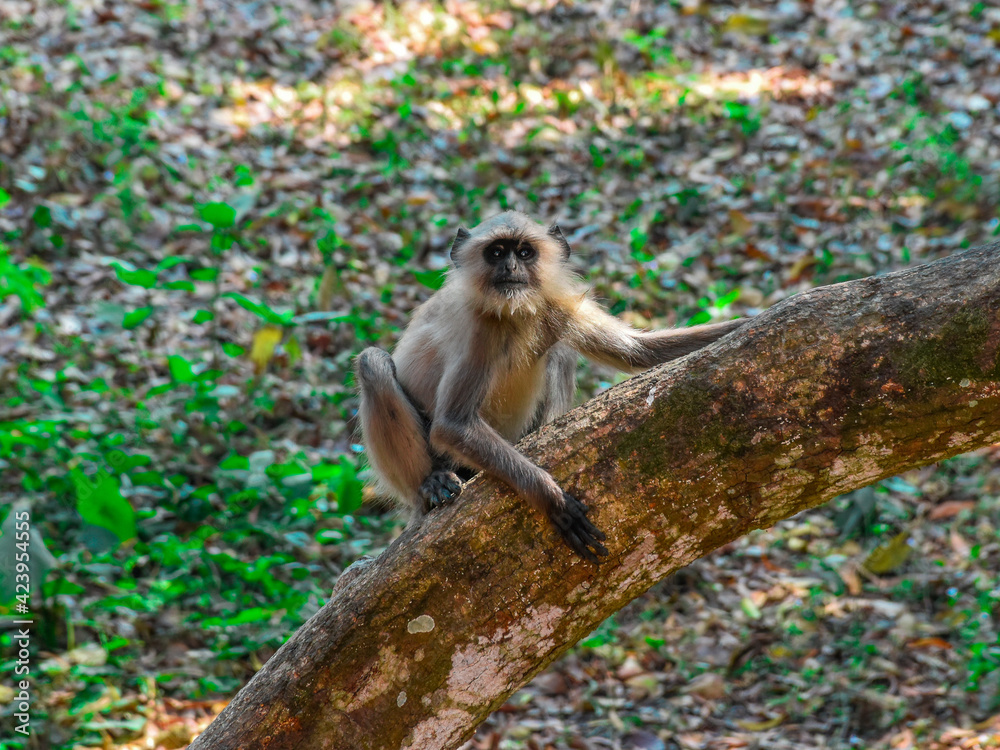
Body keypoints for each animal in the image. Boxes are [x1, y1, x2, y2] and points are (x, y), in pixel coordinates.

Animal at [355, 211, 743, 563]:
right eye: (497, 252)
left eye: (525, 252)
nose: (511, 268)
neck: (514, 314)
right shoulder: (481, 327)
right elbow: (452, 425)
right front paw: (550, 497)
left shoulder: (556, 303)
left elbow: (639, 351)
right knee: (373, 363)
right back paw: (431, 485)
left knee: (561, 352)